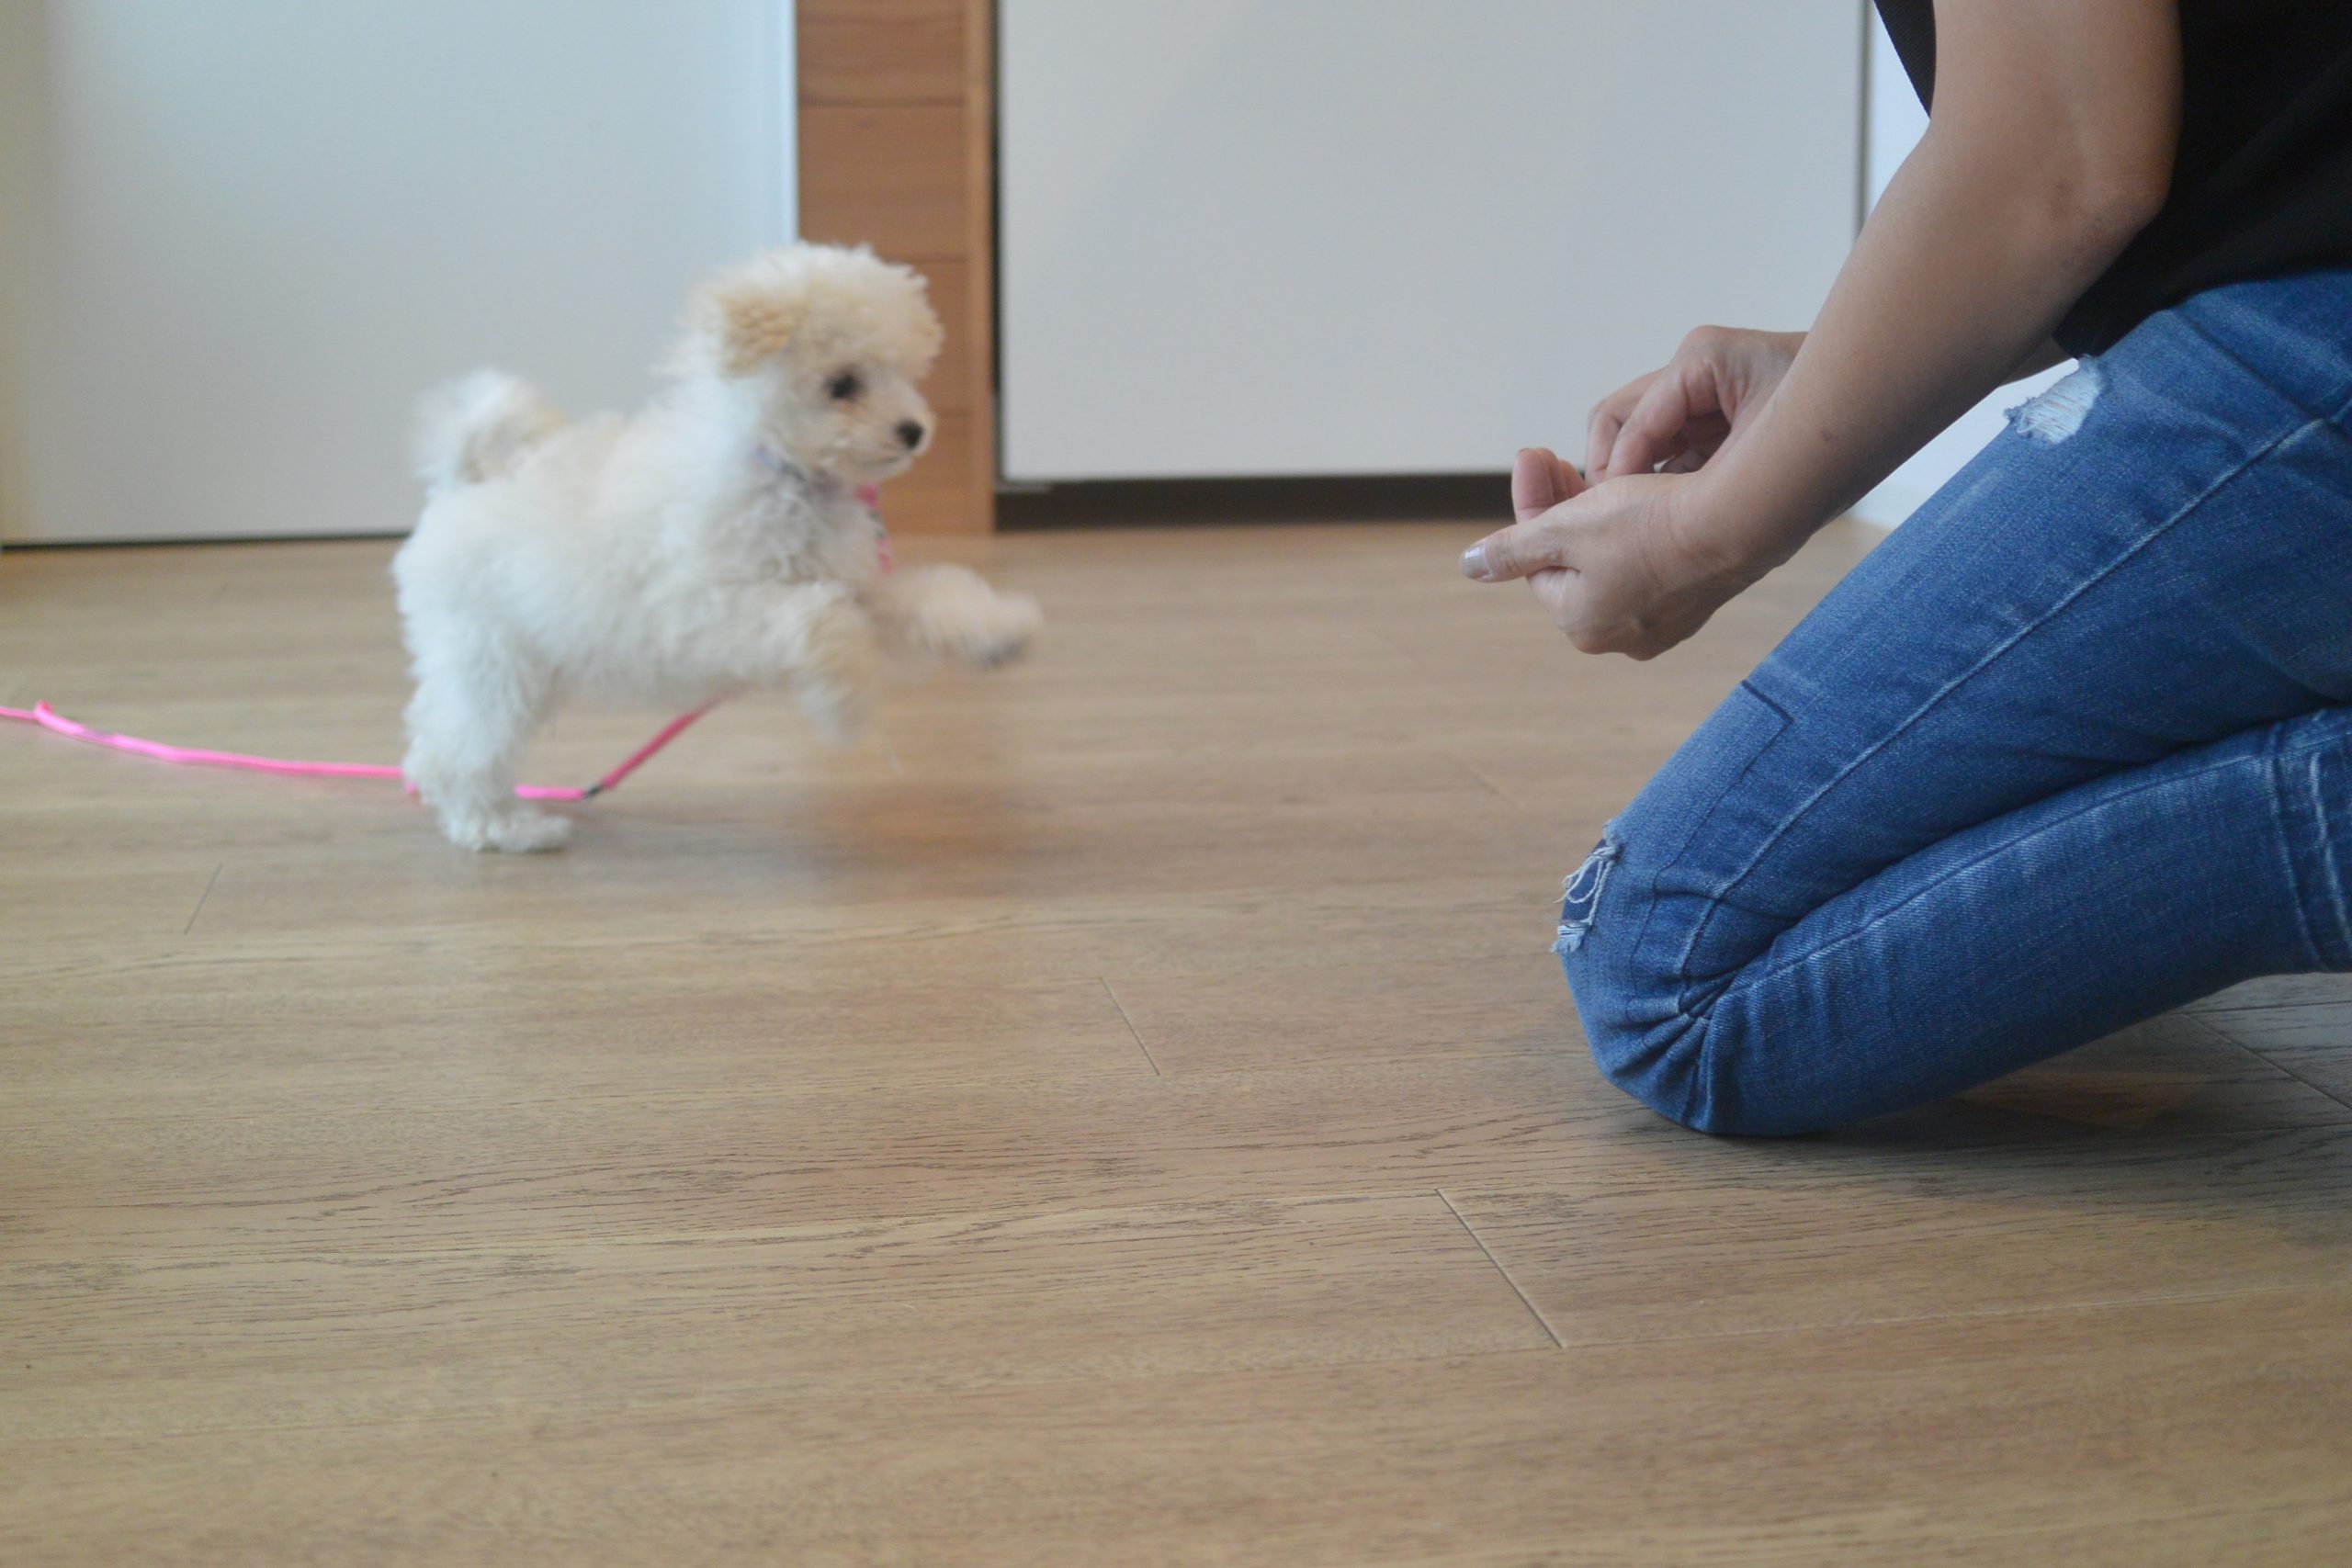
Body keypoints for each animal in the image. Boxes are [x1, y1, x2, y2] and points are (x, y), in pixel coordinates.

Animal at [392, 243, 1040, 851]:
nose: (913, 430)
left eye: (903, 374)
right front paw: (847, 708)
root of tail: (461, 481)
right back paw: (503, 828)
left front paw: (997, 629)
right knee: (452, 754)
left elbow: (927, 595)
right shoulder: (703, 609)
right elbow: (822, 624)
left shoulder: (853, 585)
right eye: (842, 385)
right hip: (492, 664)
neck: (781, 471)